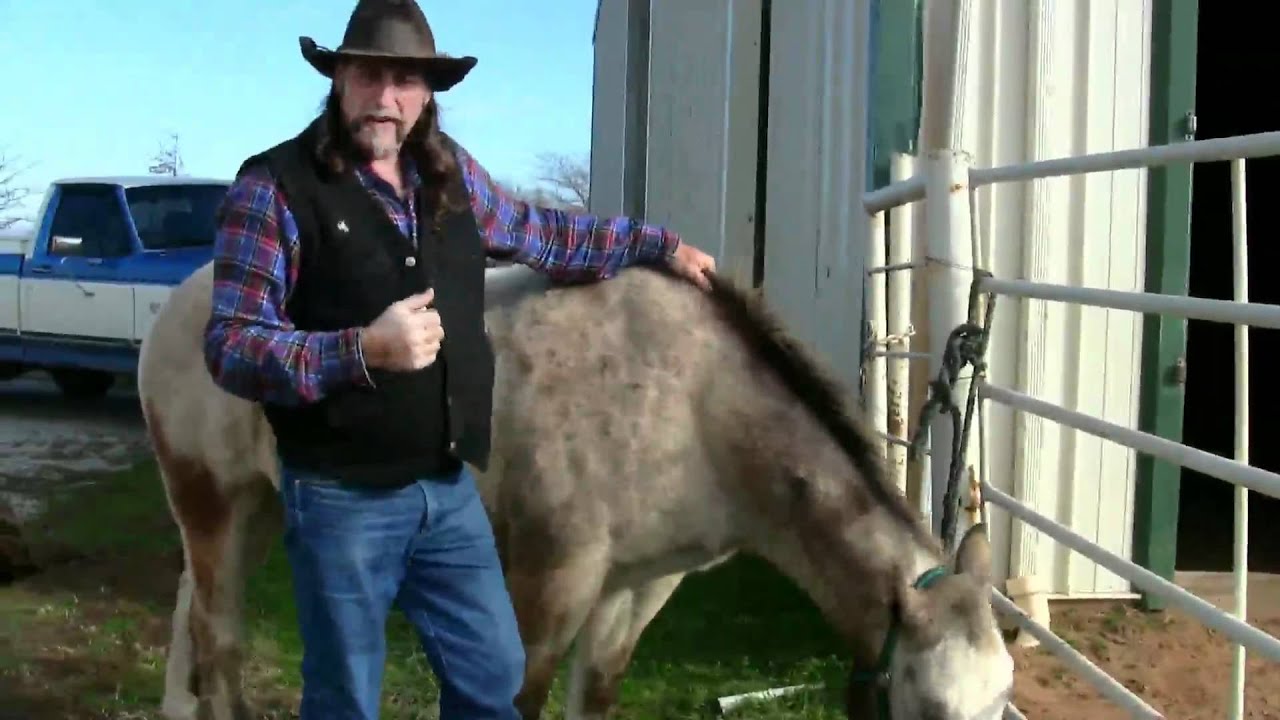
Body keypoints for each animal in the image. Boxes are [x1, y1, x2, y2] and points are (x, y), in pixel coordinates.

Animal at [137, 259, 1014, 720]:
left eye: (1003, 695)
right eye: (932, 705)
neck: (696, 406)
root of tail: (184, 301)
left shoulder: (641, 584)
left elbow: (593, 697)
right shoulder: (552, 578)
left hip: (255, 508)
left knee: (197, 623)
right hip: (212, 503)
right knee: (220, 640)